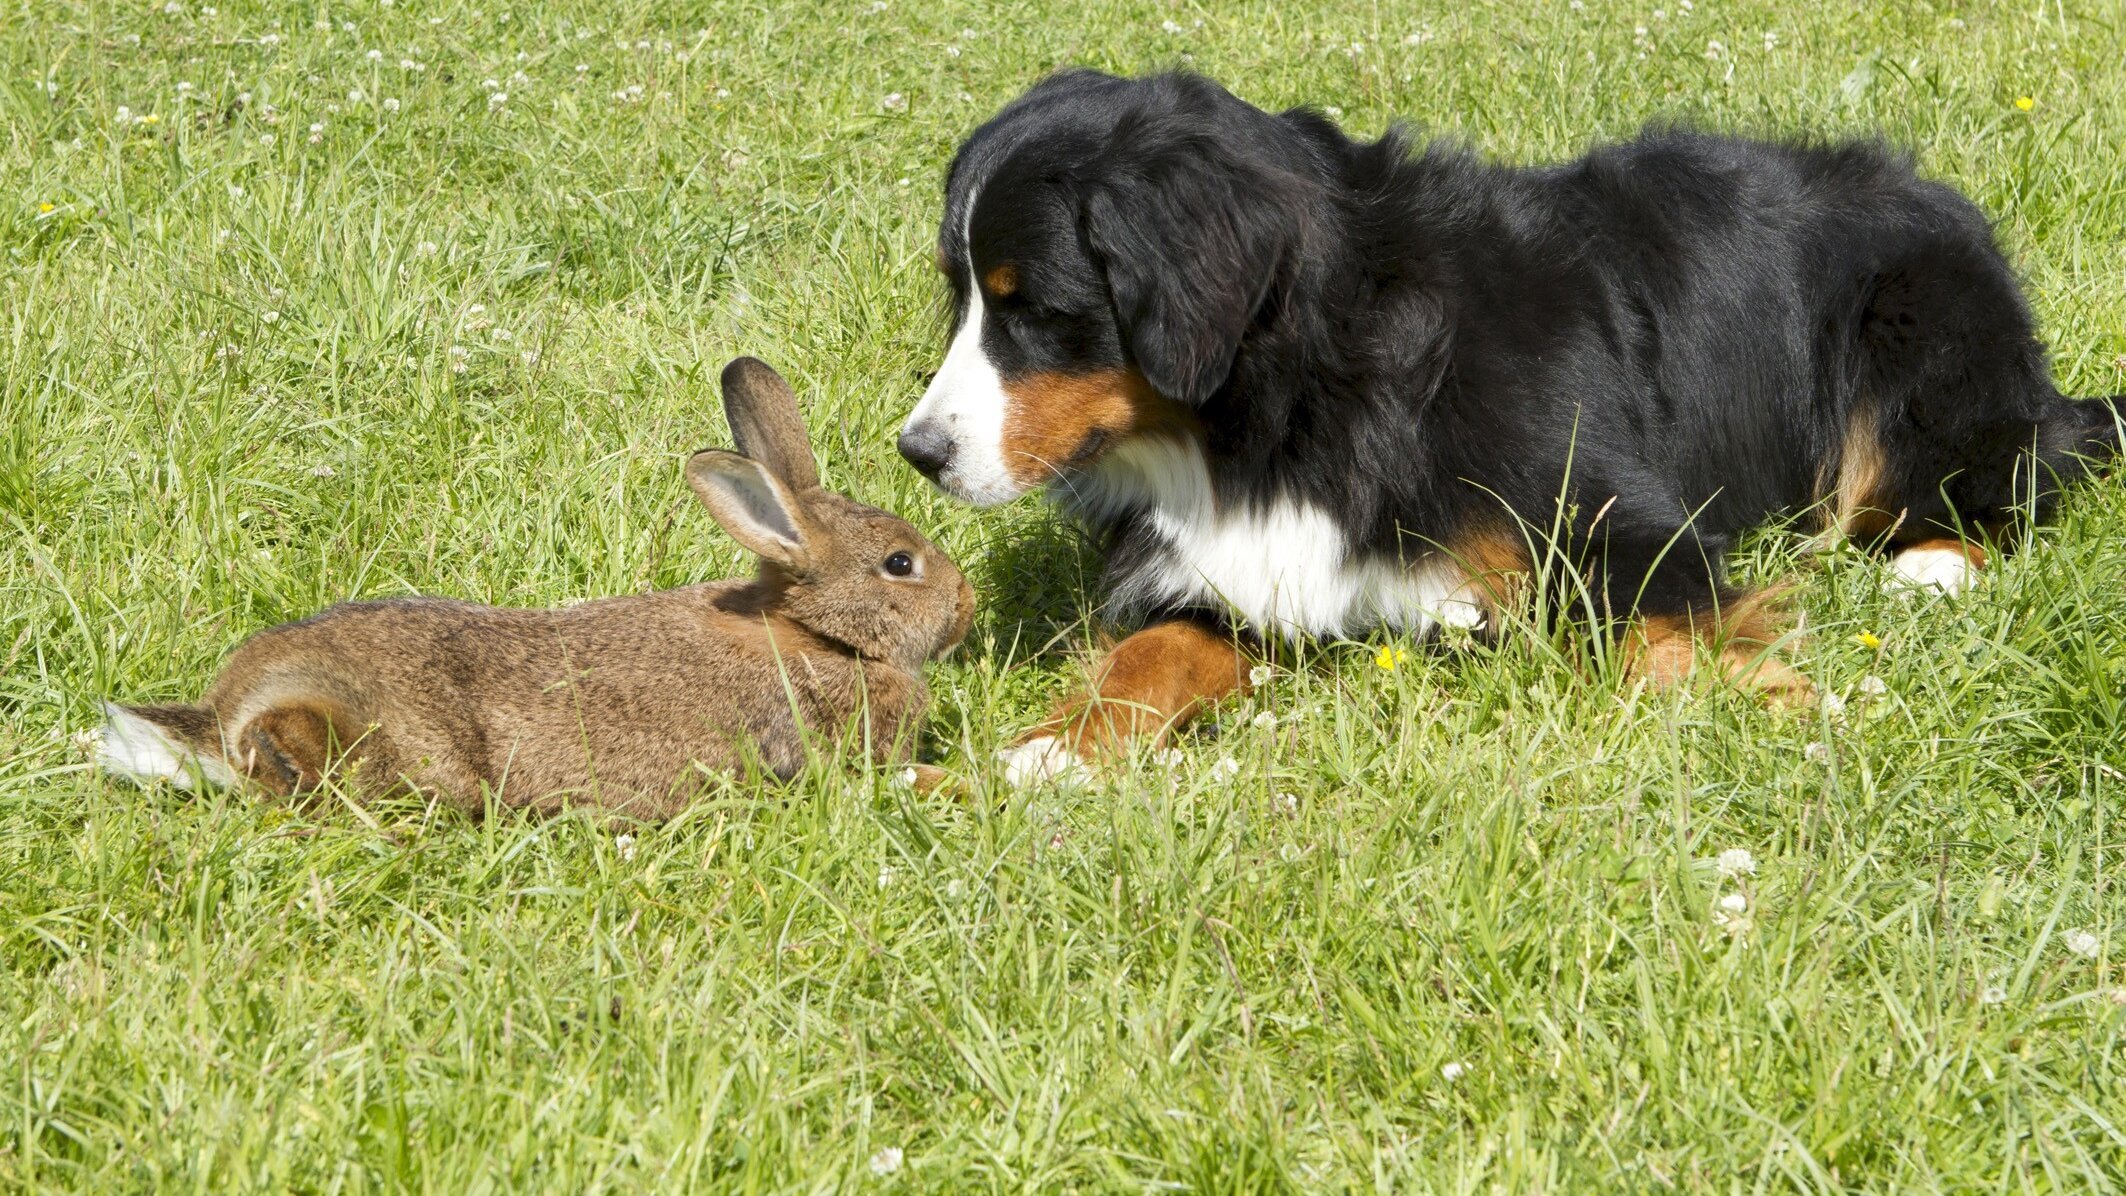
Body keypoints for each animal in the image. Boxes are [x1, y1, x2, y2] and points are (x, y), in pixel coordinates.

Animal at [888, 72, 2117, 786]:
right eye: (960, 292)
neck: (1294, 403)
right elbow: (1157, 645)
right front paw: (1055, 742)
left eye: (1035, 308)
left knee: (2010, 477)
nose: (919, 453)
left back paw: (1931, 564)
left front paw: (1789, 708)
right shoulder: (1247, 568)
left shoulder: (1625, 523)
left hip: (1912, 333)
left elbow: (1654, 641)